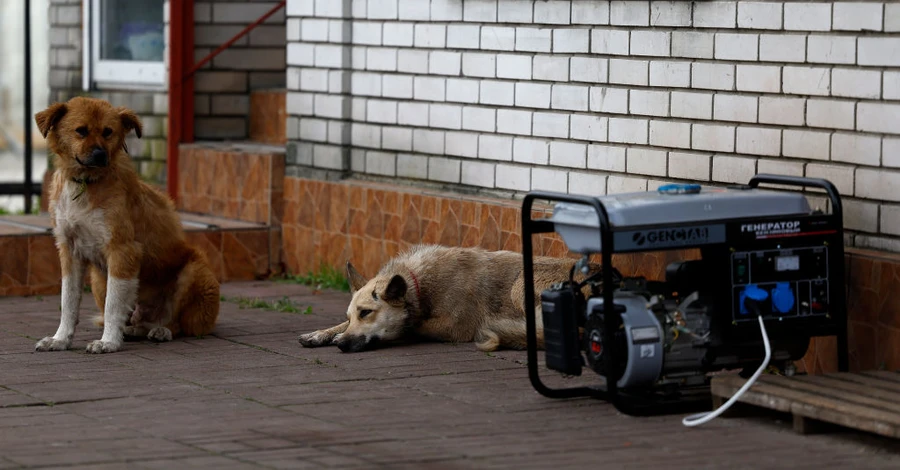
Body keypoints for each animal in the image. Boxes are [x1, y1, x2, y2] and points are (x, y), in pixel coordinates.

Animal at [34, 96, 221, 352]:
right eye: (81, 131)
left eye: (108, 132)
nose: (100, 155)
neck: (85, 183)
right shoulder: (70, 252)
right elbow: (68, 302)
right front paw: (60, 339)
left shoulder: (122, 251)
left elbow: (113, 306)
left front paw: (108, 342)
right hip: (98, 278)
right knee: (135, 318)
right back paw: (133, 329)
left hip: (194, 271)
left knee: (177, 322)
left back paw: (161, 330)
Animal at [298, 244, 600, 350]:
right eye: (353, 315)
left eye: (366, 313)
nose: (341, 345)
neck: (419, 285)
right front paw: (322, 333)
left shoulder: (455, 327)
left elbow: (411, 326)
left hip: (521, 284)